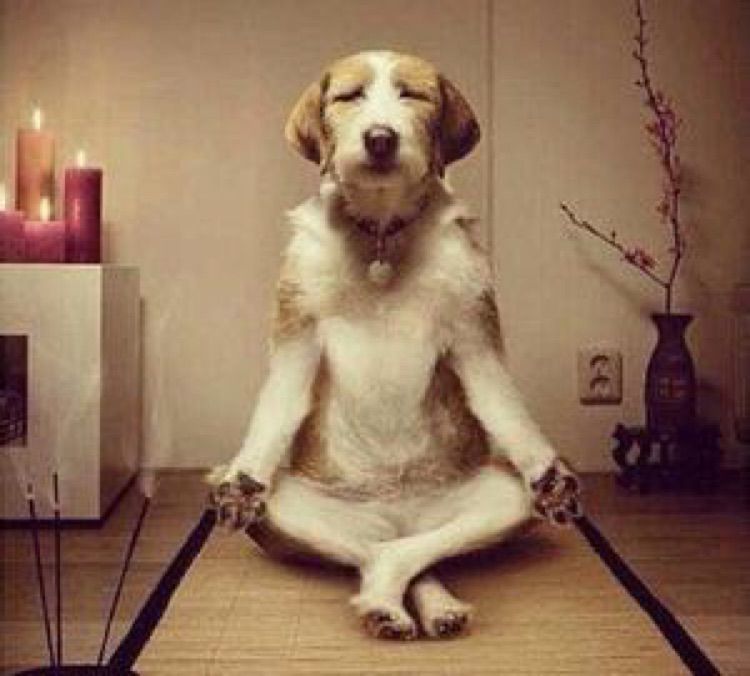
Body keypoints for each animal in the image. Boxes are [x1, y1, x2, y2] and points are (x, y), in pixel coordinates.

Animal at [209, 50, 582, 641]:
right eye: (348, 97)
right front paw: (244, 480)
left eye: (413, 95)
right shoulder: (297, 325)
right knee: (372, 551)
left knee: (414, 552)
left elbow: (502, 399)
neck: (382, 230)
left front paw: (548, 471)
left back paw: (424, 604)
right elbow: (277, 404)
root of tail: (395, 516)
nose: (380, 138)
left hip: (497, 501)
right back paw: (387, 602)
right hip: (294, 506)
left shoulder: (473, 326)